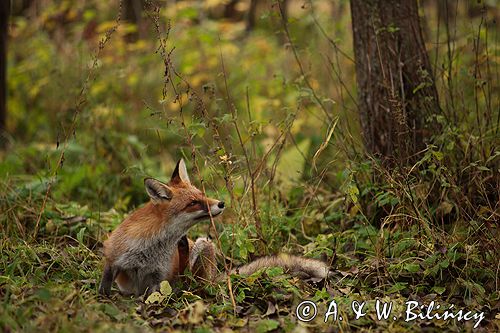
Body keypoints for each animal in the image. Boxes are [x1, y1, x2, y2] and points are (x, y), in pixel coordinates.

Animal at [99, 158, 330, 296]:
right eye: (193, 203)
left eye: (202, 194)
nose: (221, 203)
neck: (151, 245)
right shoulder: (113, 256)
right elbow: (106, 281)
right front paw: (103, 297)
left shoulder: (158, 276)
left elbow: (154, 296)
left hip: (204, 246)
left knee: (198, 284)